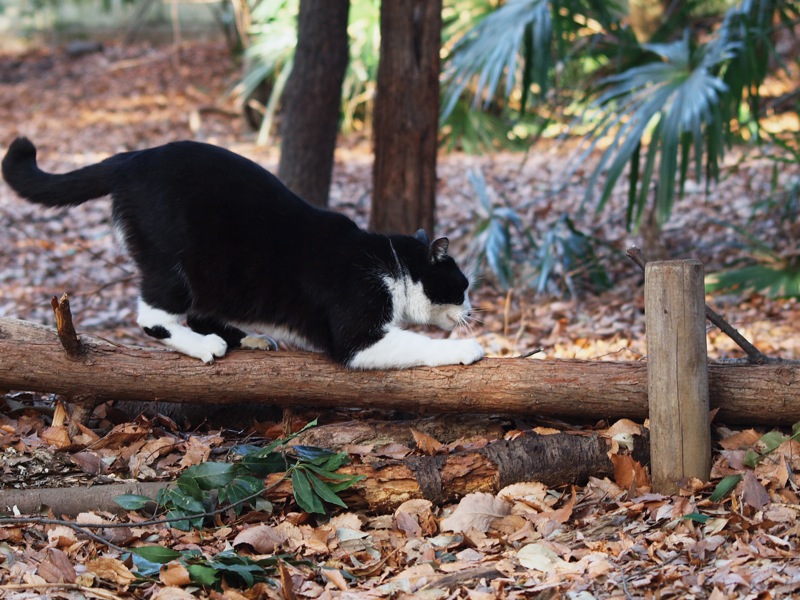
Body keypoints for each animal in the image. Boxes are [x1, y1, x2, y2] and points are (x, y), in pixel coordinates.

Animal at [3, 138, 484, 368]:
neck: (389, 261)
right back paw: (204, 346)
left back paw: (247, 338)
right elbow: (414, 342)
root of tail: (130, 158)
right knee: (153, 317)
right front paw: (466, 348)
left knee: (200, 310)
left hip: (219, 275)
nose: (471, 311)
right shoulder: (356, 335)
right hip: (173, 258)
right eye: (461, 287)